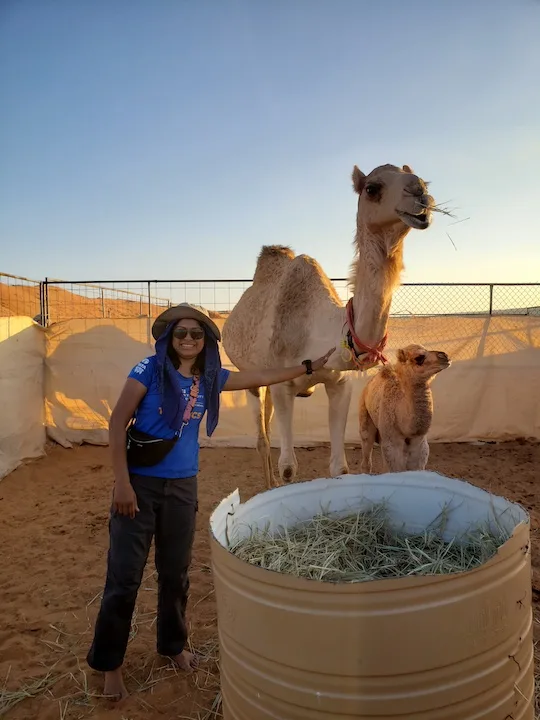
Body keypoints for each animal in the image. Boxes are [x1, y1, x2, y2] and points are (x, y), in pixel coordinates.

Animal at [222, 162, 436, 488]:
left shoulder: (339, 383)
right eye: (372, 188)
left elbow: (340, 467)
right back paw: (268, 487)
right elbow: (289, 468)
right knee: (262, 439)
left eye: (424, 180)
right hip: (250, 377)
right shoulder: (283, 384)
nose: (420, 193)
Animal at [359, 343, 451, 474]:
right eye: (419, 357)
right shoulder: (393, 444)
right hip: (365, 418)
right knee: (366, 449)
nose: (444, 356)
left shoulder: (420, 446)